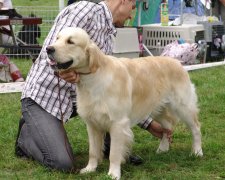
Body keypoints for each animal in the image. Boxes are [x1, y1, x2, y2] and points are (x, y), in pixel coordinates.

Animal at [46, 27, 203, 179]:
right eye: (57, 38)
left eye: (70, 41)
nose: (48, 49)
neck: (93, 77)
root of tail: (177, 63)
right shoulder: (92, 124)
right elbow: (93, 151)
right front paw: (90, 169)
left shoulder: (118, 123)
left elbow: (114, 154)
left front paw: (113, 174)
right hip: (157, 108)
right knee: (168, 126)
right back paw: (163, 148)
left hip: (183, 106)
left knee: (196, 128)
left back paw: (197, 152)